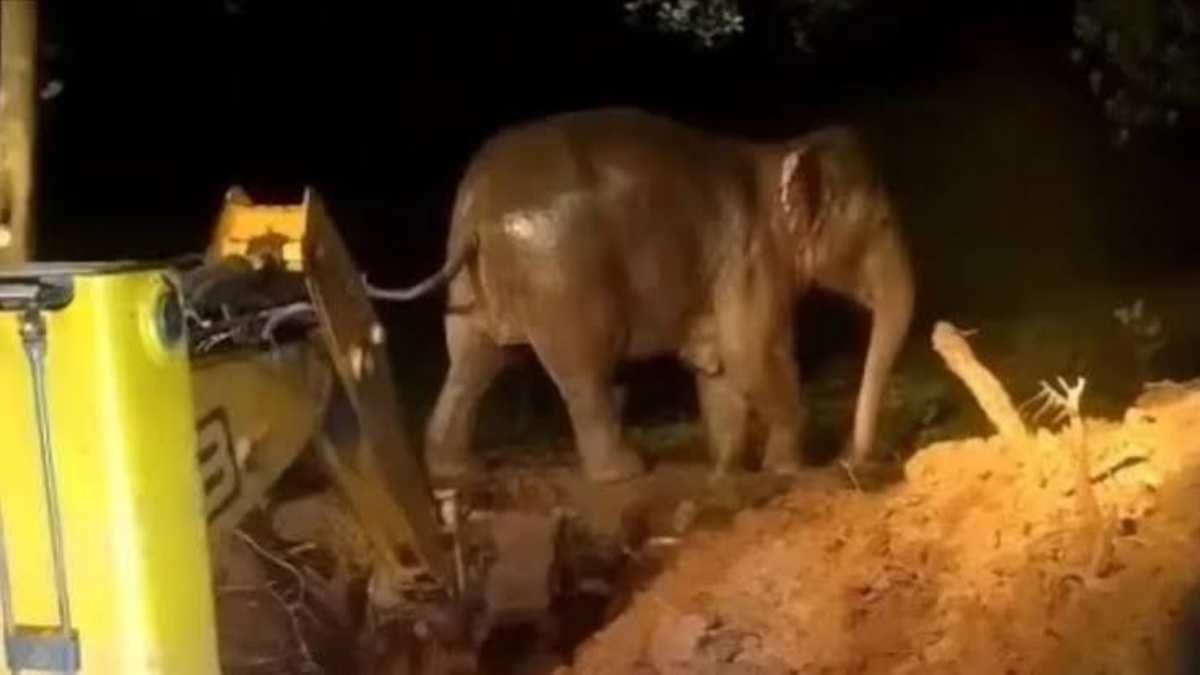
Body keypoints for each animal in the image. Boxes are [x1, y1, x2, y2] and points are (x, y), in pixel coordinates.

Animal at [369, 107, 915, 484]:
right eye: (884, 222)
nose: (853, 458)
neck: (779, 152)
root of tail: (480, 205)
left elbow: (719, 373)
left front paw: (725, 472)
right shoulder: (753, 262)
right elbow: (754, 357)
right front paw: (788, 469)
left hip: (470, 286)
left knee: (473, 362)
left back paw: (455, 472)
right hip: (563, 278)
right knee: (583, 371)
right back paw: (624, 472)